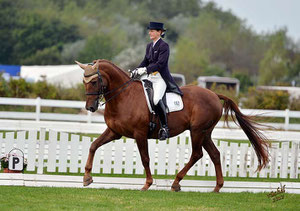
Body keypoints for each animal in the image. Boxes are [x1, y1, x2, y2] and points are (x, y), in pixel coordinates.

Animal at [75, 58, 270, 192]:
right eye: (83, 82)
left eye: (94, 81)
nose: (90, 107)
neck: (124, 96)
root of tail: (214, 94)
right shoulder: (114, 131)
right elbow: (93, 146)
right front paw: (87, 177)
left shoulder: (139, 134)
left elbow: (145, 158)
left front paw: (147, 184)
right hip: (205, 132)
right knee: (214, 154)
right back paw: (217, 187)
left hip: (197, 131)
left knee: (197, 154)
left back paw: (176, 182)